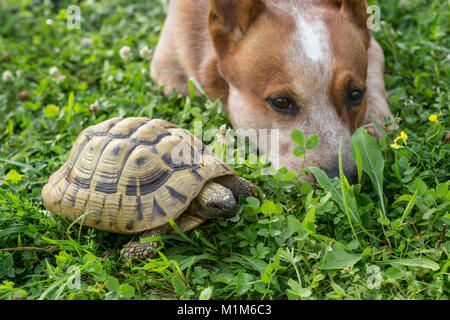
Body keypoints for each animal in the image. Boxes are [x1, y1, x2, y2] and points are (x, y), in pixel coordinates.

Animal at [150, 0, 394, 182]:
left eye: (355, 94)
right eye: (281, 102)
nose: (342, 178)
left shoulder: (374, 47)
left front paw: (378, 123)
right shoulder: (166, 71)